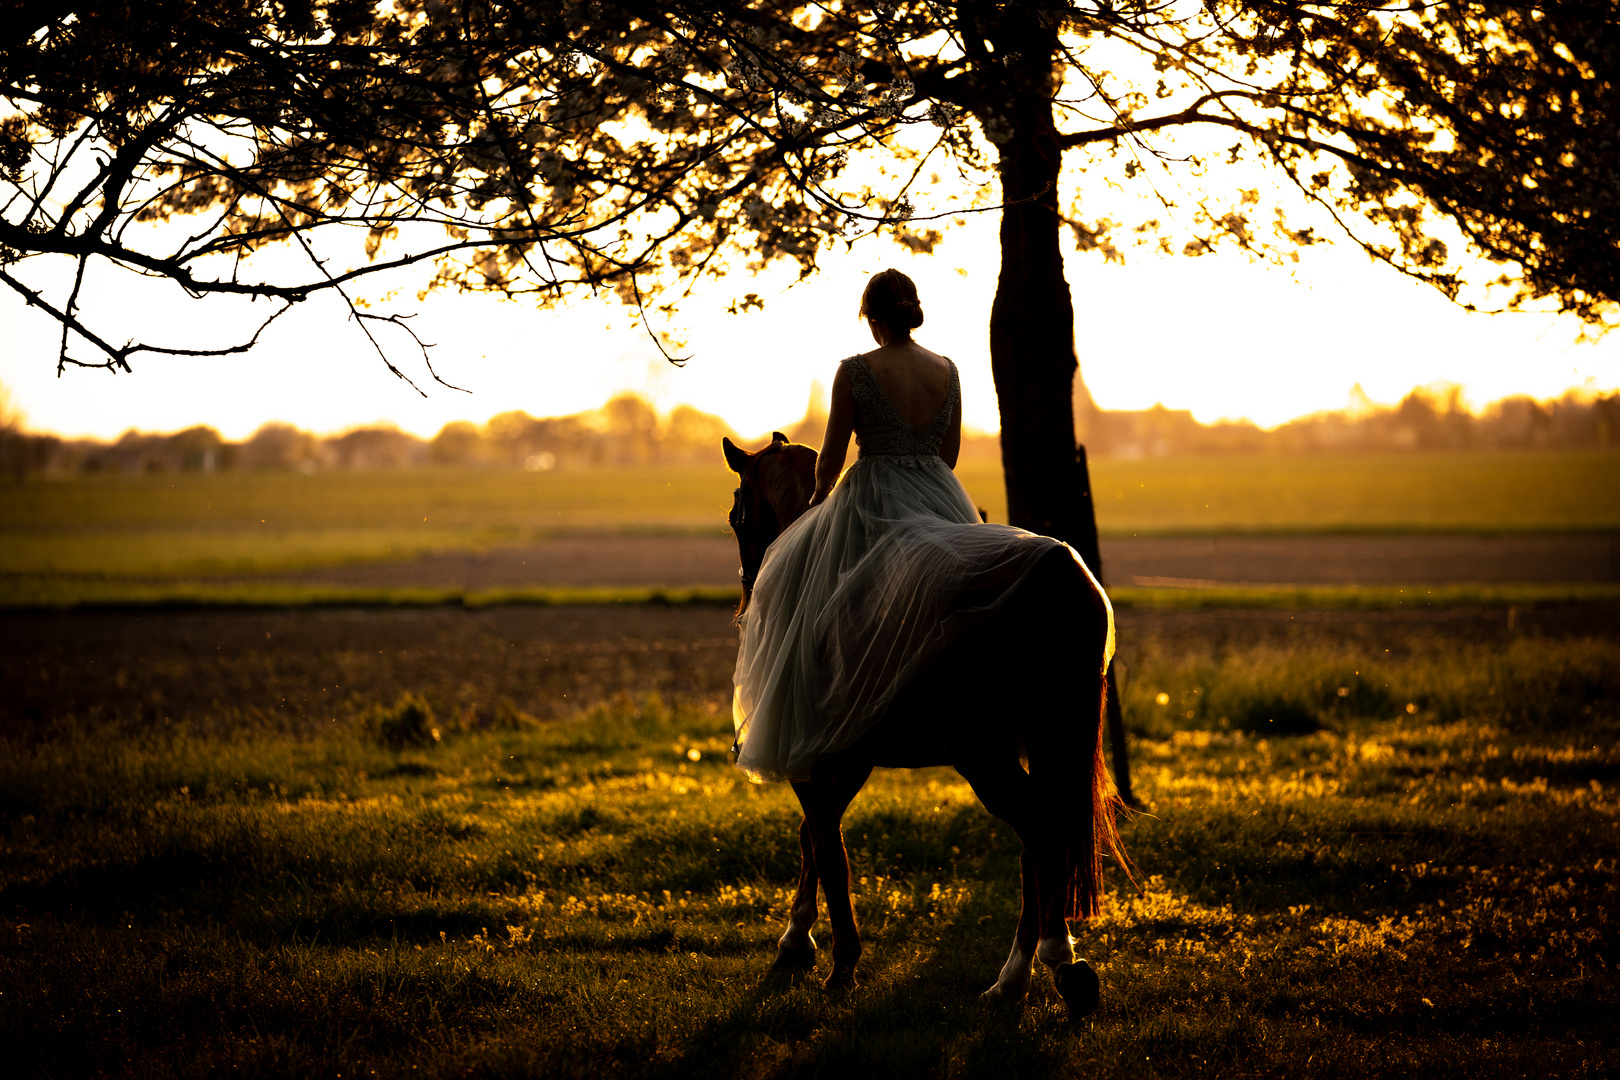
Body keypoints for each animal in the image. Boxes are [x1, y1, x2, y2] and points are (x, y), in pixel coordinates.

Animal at [722, 433, 1127, 1023]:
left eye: (736, 512)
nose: (750, 590)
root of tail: (1060, 574)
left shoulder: (812, 757)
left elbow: (828, 850)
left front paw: (837, 964)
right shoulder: (846, 756)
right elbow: (813, 839)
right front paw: (798, 944)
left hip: (985, 756)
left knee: (1039, 834)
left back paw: (1045, 965)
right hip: (1038, 741)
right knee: (1036, 847)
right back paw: (1023, 978)